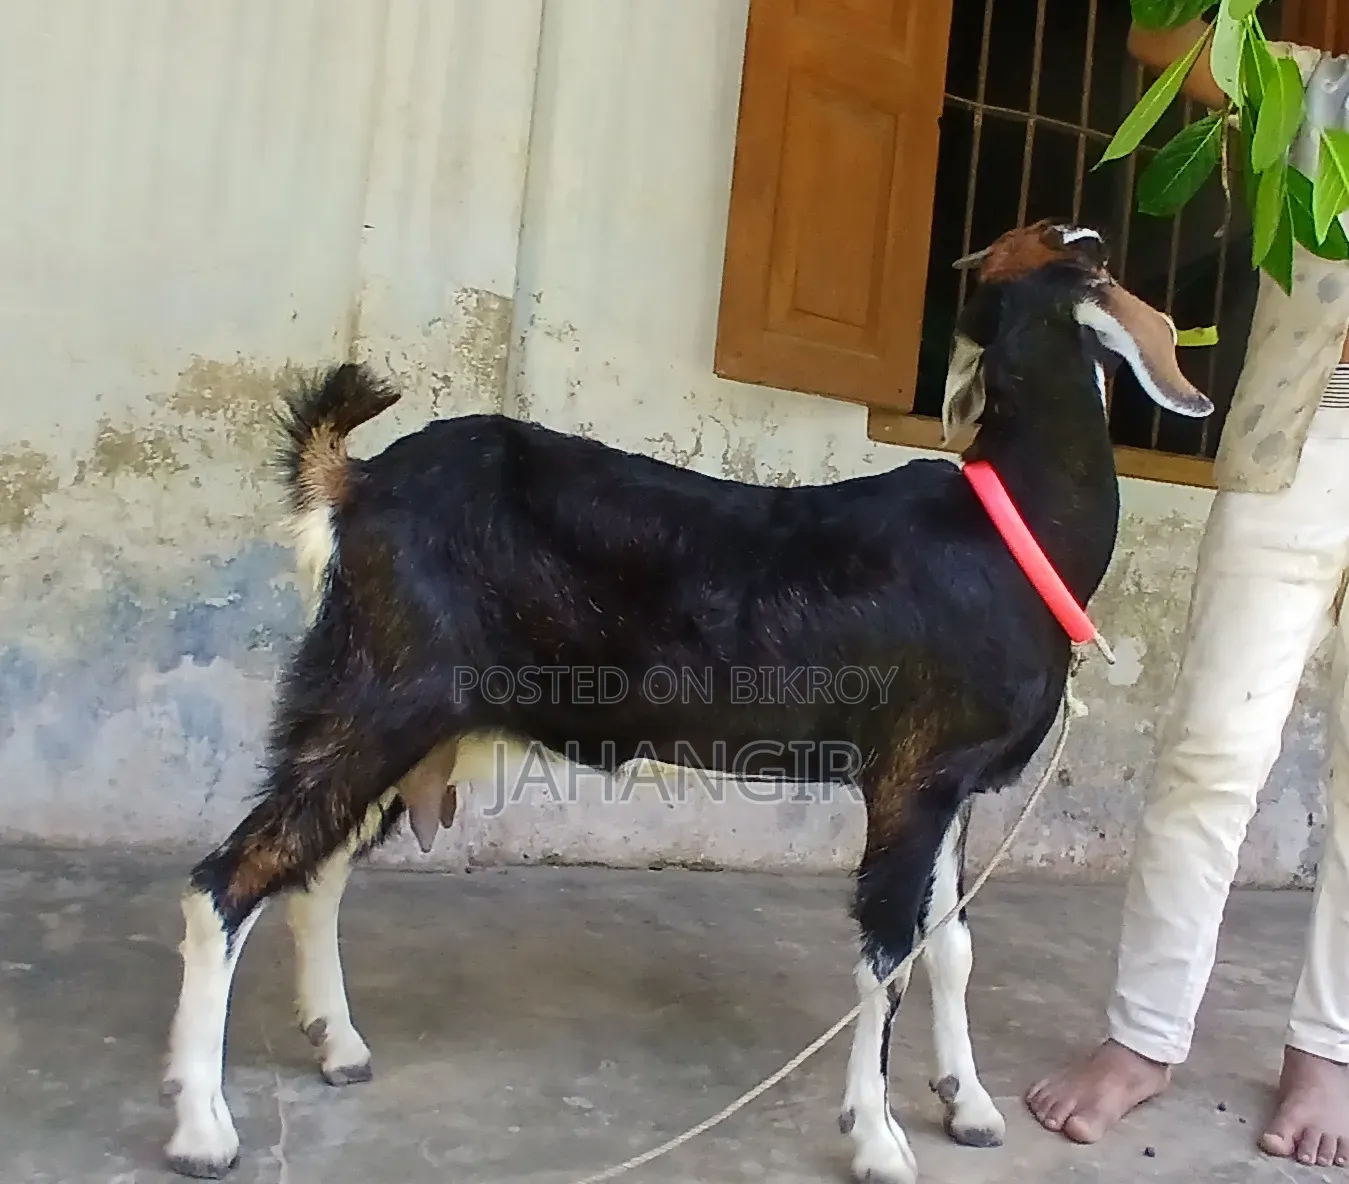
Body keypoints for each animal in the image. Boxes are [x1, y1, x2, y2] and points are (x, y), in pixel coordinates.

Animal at [160, 220, 1212, 1184]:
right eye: (1092, 260)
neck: (1013, 527)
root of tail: (354, 482)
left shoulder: (957, 784)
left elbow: (949, 945)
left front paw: (970, 1105)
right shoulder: (909, 775)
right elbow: (887, 953)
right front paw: (877, 1142)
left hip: (414, 727)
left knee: (315, 873)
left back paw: (336, 1045)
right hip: (377, 696)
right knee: (229, 880)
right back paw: (204, 1129)